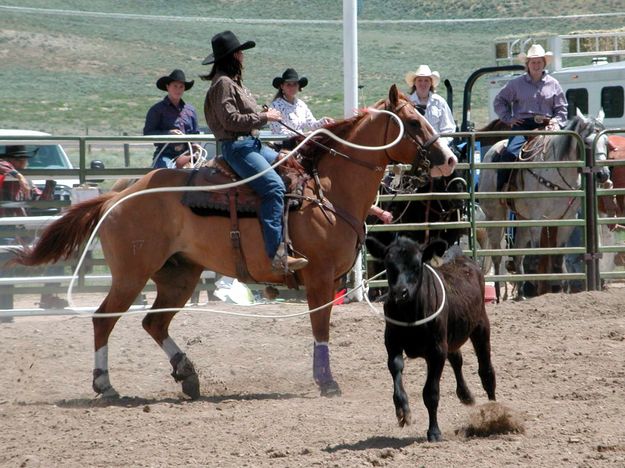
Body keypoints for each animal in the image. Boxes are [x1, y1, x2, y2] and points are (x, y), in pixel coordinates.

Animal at [9, 85, 456, 398]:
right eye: (414, 123)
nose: (450, 159)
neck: (329, 188)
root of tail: (119, 194)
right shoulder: (320, 277)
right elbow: (320, 327)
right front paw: (326, 382)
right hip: (132, 274)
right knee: (105, 319)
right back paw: (105, 385)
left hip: (180, 275)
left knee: (154, 323)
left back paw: (188, 375)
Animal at [478, 109, 608, 300]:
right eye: (587, 142)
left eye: (606, 142)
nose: (603, 175)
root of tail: (492, 150)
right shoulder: (538, 219)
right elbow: (537, 257)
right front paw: (536, 289)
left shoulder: (565, 220)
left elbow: (558, 258)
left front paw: (558, 288)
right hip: (495, 216)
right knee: (497, 256)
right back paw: (499, 295)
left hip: (522, 219)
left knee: (518, 255)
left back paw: (520, 293)